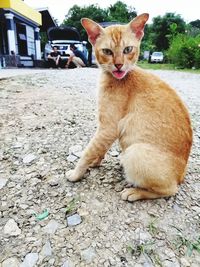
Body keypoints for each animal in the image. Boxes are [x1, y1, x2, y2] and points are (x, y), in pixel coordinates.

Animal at [66, 12, 193, 201]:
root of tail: (181, 176)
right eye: (107, 51)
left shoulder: (108, 127)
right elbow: (99, 148)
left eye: (127, 50)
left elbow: (88, 151)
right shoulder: (107, 129)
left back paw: (134, 192)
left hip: (135, 152)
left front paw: (76, 173)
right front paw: (96, 162)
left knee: (170, 190)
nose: (119, 65)